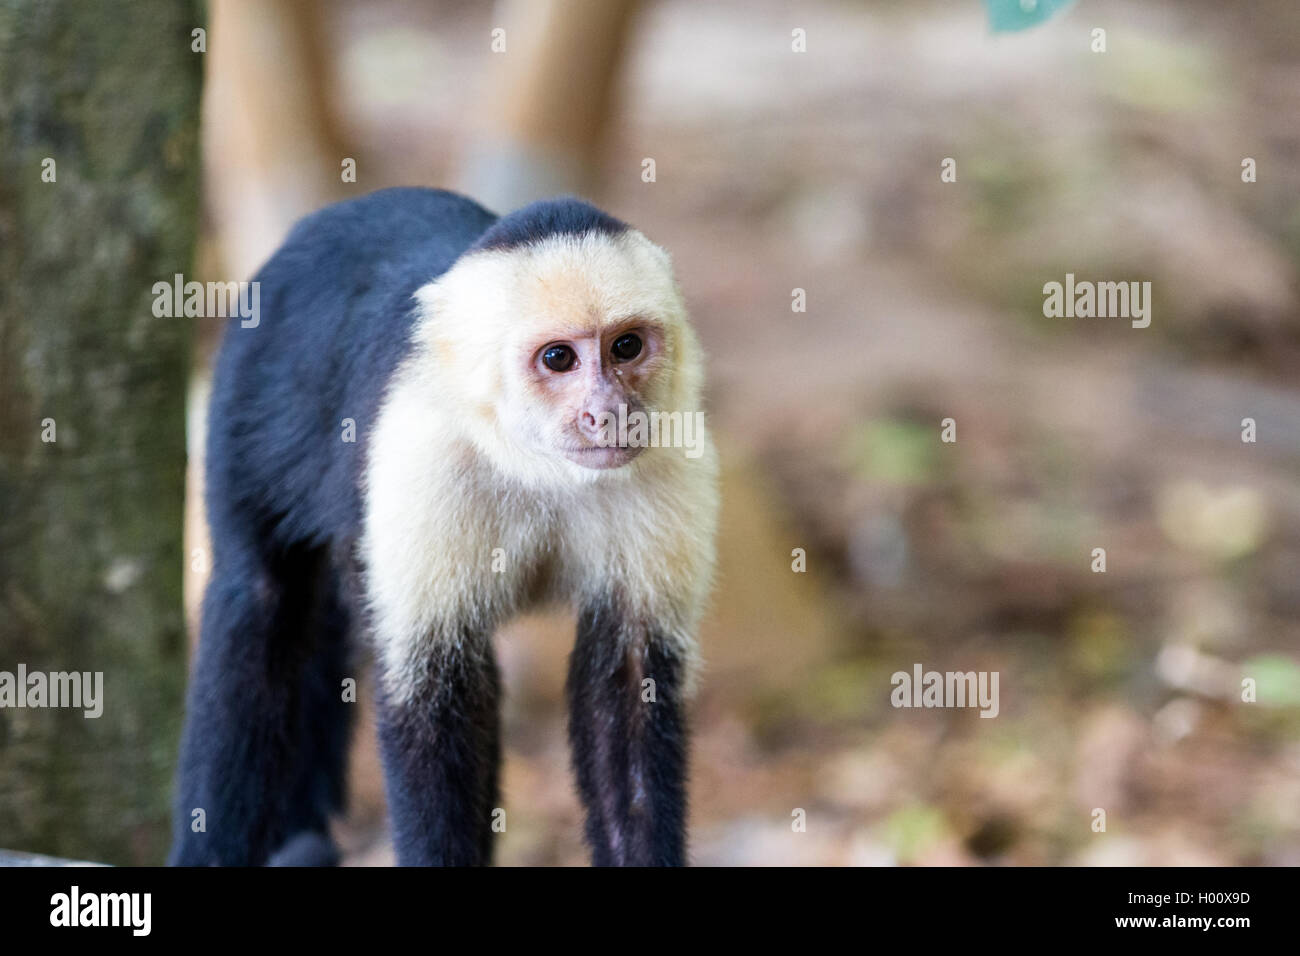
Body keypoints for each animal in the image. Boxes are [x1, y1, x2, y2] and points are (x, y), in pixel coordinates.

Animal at [169, 187, 718, 867]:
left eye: (626, 347)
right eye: (558, 358)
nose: (608, 413)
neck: (538, 466)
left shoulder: (672, 456)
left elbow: (629, 687)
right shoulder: (421, 454)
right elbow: (433, 696)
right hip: (250, 376)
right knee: (262, 602)